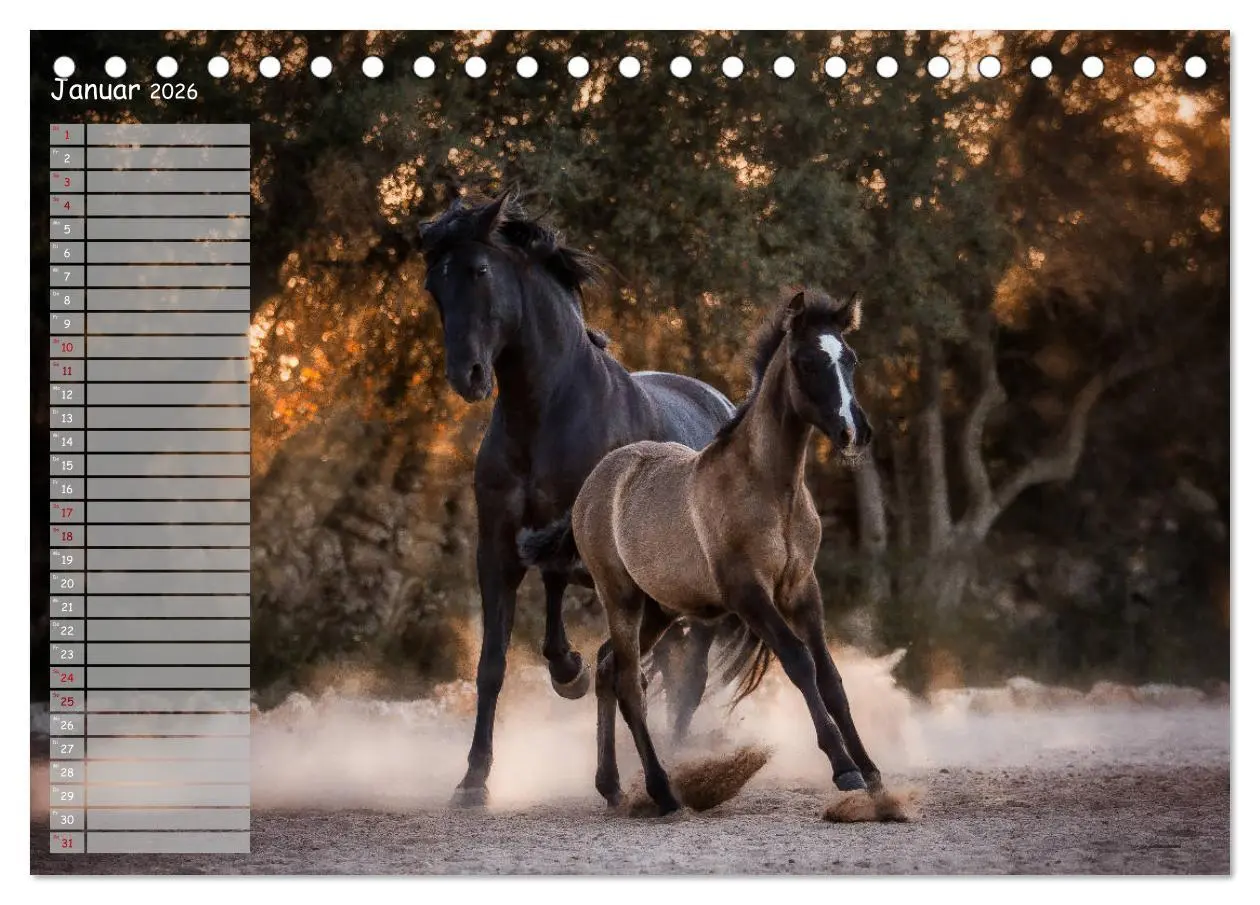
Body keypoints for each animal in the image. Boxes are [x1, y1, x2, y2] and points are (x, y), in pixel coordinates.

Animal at [419, 191, 742, 806]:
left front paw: (571, 674)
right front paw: (474, 779)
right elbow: (494, 661)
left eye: (479, 271)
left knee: (687, 677)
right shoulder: (499, 548)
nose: (467, 375)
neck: (546, 414)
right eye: (433, 285)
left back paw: (672, 762)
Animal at [566, 289, 883, 814]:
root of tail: (596, 481)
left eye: (850, 359)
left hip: (659, 608)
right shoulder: (748, 594)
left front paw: (872, 771)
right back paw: (661, 790)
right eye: (808, 362)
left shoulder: (802, 590)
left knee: (610, 667)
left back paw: (610, 785)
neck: (772, 490)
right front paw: (844, 769)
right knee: (630, 682)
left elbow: (830, 678)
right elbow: (799, 663)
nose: (853, 432)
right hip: (621, 599)